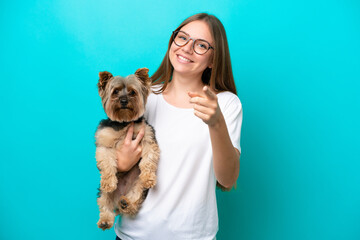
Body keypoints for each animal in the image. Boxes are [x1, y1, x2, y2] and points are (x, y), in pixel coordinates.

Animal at [95, 67, 159, 231]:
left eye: (132, 92)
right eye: (115, 92)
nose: (123, 101)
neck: (124, 122)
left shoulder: (147, 136)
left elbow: (149, 159)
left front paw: (149, 177)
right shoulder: (104, 142)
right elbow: (107, 163)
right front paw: (109, 182)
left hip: (137, 185)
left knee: (135, 197)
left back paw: (126, 203)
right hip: (103, 192)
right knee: (104, 202)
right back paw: (105, 220)